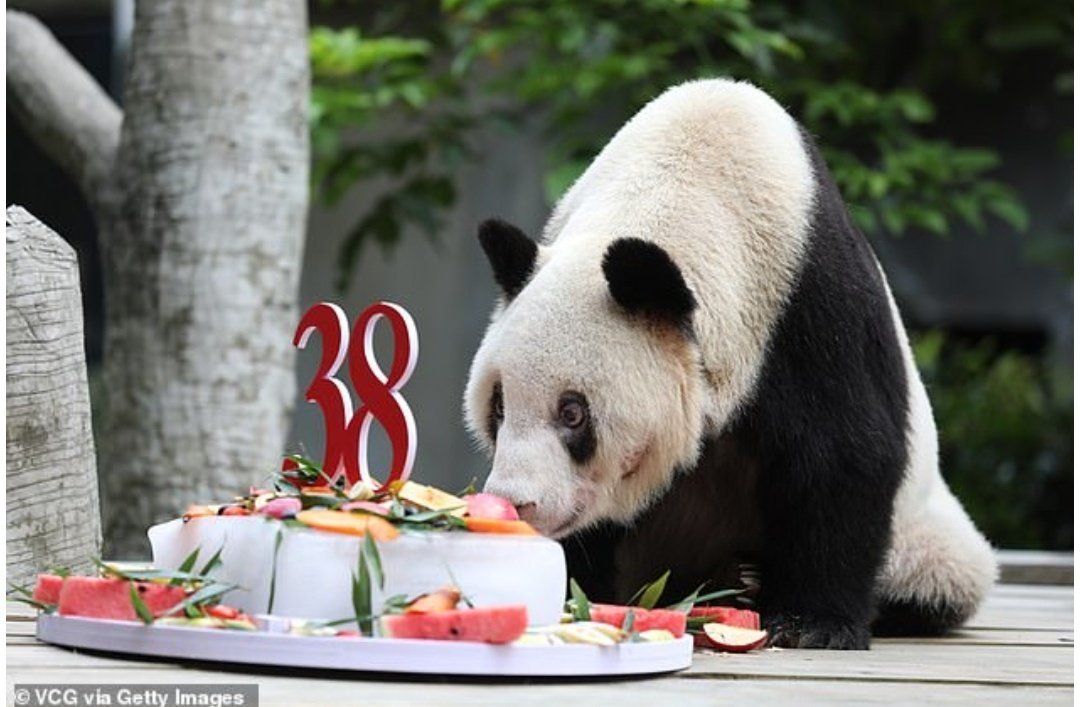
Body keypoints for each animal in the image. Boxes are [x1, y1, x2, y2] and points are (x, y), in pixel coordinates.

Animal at [463, 79, 997, 649]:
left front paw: (812, 624)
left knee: (940, 575)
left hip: (925, 535)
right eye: (498, 406)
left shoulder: (809, 308)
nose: (516, 503)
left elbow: (845, 452)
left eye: (573, 414)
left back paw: (752, 582)